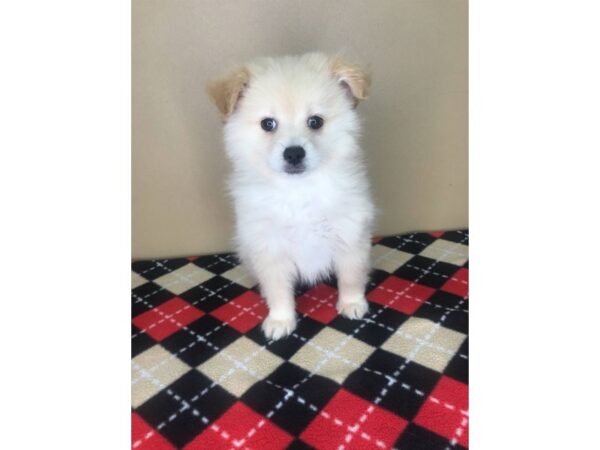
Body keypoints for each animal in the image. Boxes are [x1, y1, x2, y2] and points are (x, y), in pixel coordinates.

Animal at [209, 52, 372, 340]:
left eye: (315, 121)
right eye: (268, 124)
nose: (294, 153)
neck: (298, 190)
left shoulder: (350, 235)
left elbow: (350, 276)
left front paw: (352, 303)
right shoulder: (269, 247)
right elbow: (278, 290)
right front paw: (280, 320)